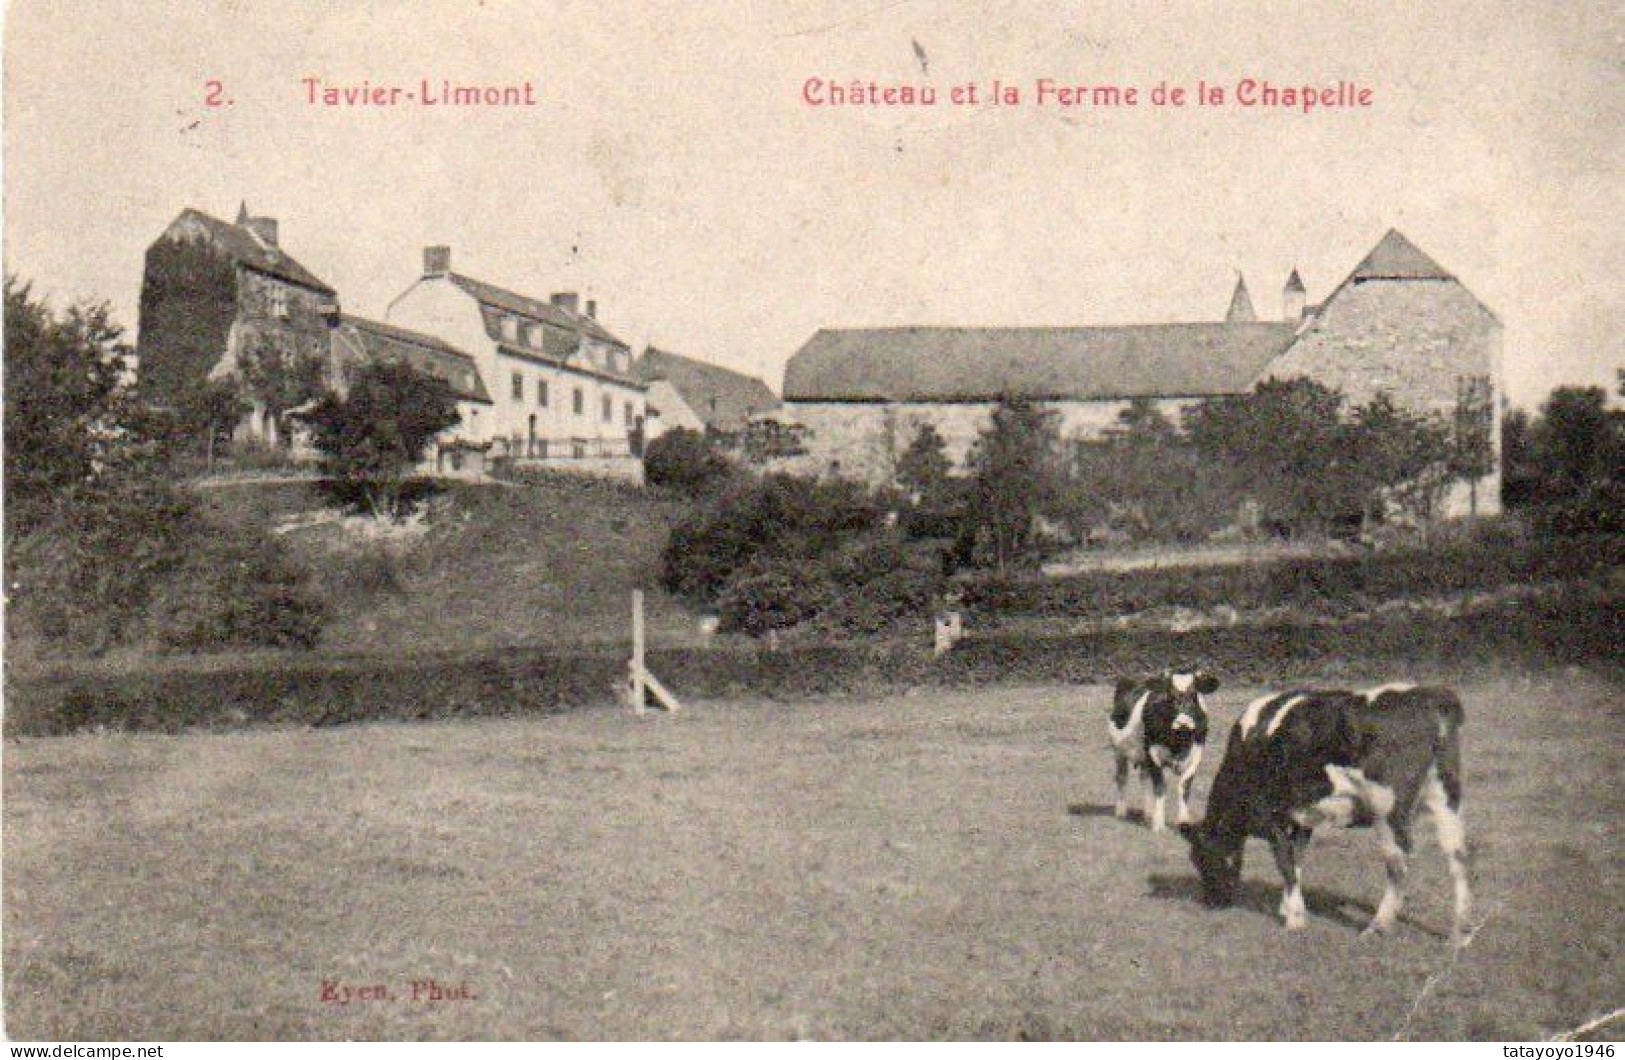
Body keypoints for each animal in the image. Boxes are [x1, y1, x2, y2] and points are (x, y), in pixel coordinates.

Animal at [1105, 669, 1222, 838]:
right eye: (1169, 696)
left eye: (1194, 695)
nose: (1183, 722)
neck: (1179, 741)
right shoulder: (1153, 754)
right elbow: (1160, 788)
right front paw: (1159, 824)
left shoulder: (1196, 755)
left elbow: (1184, 787)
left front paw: (1183, 821)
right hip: (1119, 751)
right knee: (1122, 777)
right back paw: (1121, 811)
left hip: (1142, 757)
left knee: (1144, 779)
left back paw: (1148, 813)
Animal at [1183, 686, 1475, 942]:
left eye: (1200, 858)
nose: (1213, 903)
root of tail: (1430, 695)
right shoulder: (1302, 817)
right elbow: (1297, 858)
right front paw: (1288, 907)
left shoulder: (1271, 815)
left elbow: (1285, 862)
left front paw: (1295, 920)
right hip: (1446, 797)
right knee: (1458, 857)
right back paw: (1461, 934)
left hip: (1388, 809)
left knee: (1398, 865)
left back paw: (1378, 927)